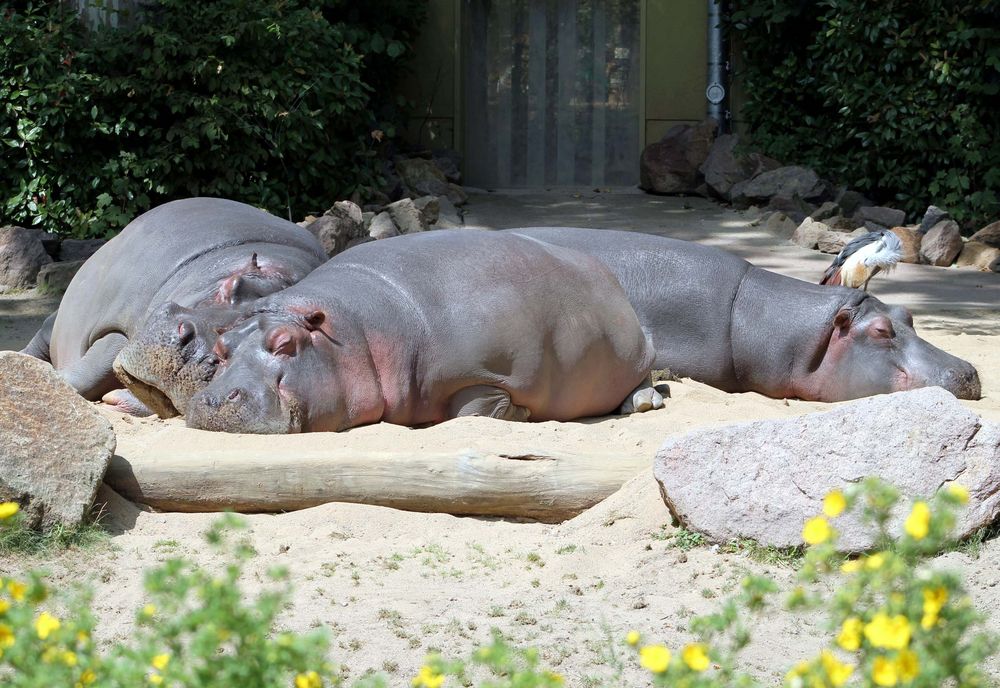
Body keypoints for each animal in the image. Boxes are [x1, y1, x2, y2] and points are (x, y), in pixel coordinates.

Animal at [19, 196, 326, 416]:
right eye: (232, 284)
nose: (194, 350)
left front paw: (117, 399)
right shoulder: (118, 329)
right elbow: (88, 373)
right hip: (53, 322)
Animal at [186, 231, 664, 436]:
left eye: (285, 344)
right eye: (222, 347)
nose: (213, 400)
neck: (354, 331)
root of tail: (605, 274)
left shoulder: (482, 373)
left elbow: (474, 409)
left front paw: (522, 414)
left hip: (637, 350)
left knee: (642, 378)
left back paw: (643, 403)